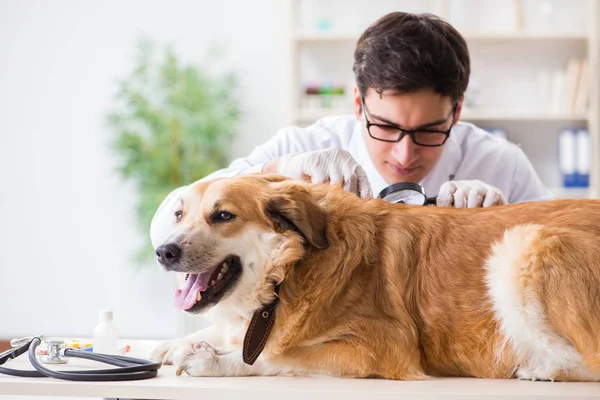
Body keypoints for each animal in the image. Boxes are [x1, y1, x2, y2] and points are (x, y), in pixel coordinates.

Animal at [151, 174, 600, 382]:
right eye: (178, 214)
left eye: (223, 215)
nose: (163, 252)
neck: (292, 270)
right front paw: (173, 344)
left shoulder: (383, 347)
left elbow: (274, 356)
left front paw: (213, 359)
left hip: (524, 242)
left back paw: (540, 368)